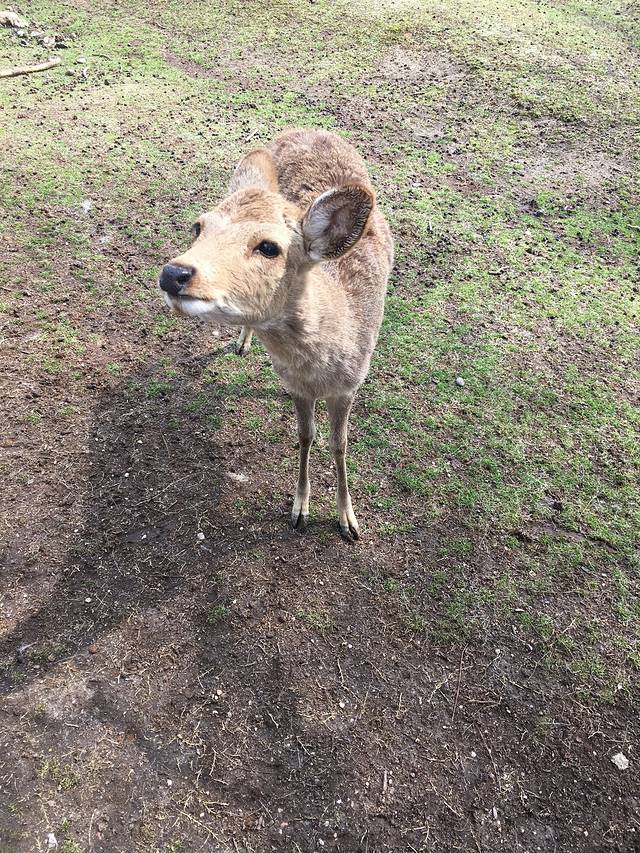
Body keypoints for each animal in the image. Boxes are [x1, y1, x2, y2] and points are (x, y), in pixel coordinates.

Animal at [158, 129, 393, 539]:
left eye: (269, 247)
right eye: (199, 227)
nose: (174, 273)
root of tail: (308, 130)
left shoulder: (351, 384)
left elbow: (339, 444)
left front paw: (348, 520)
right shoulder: (295, 384)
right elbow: (305, 436)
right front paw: (300, 509)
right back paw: (242, 341)